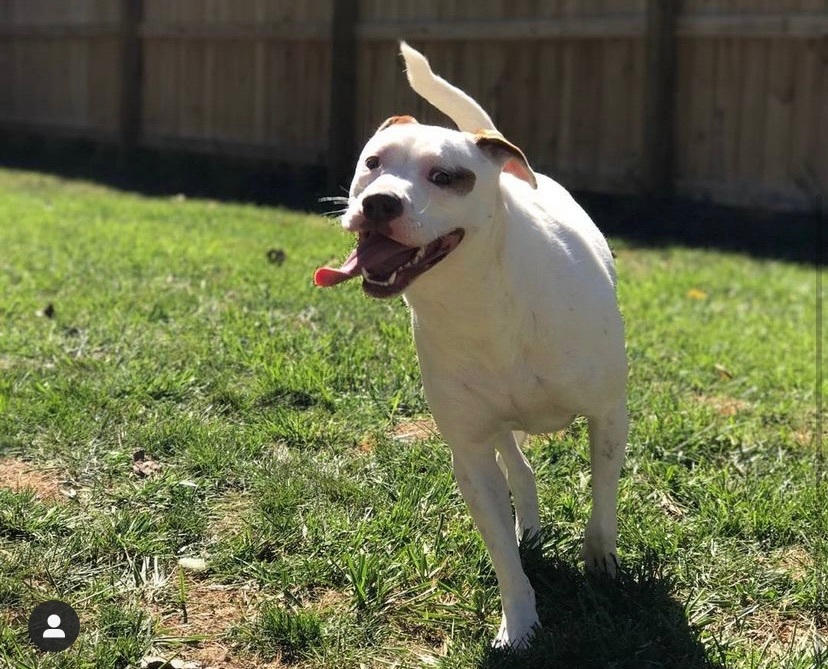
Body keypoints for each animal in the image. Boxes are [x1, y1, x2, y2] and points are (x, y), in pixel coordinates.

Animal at [316, 41, 628, 648]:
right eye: (373, 163)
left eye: (445, 176)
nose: (380, 203)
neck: (482, 300)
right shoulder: (470, 453)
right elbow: (503, 552)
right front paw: (521, 623)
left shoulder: (608, 414)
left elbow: (603, 500)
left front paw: (601, 563)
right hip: (491, 423)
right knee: (519, 468)